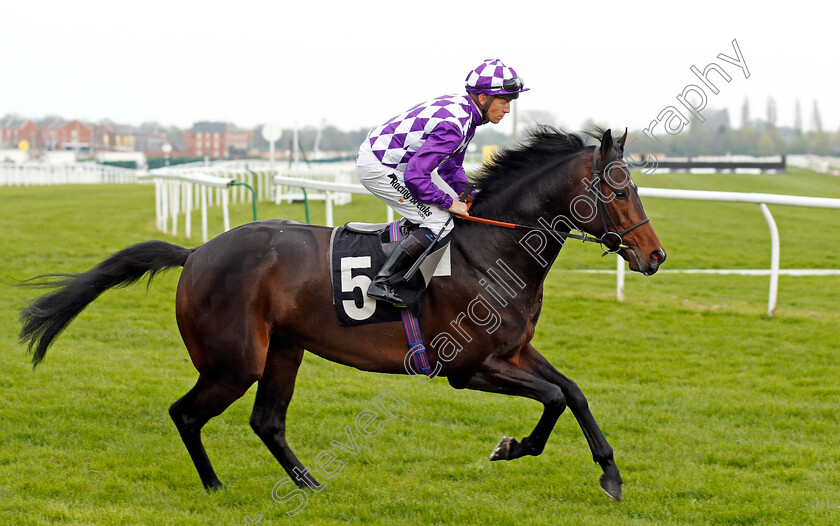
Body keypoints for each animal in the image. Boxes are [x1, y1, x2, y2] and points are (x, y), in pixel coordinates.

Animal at [18, 127, 664, 504]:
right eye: (618, 189)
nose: (655, 256)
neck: (492, 250)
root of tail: (196, 253)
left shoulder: (514, 351)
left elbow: (573, 392)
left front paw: (609, 473)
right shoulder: (469, 367)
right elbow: (553, 398)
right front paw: (511, 447)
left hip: (283, 349)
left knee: (267, 421)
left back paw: (308, 482)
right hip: (235, 361)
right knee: (186, 413)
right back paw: (214, 485)